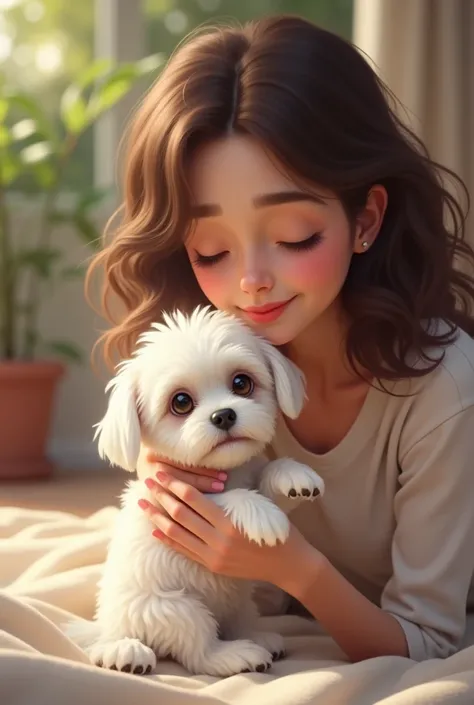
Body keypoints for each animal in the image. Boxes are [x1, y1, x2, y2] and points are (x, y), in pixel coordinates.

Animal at [66, 306, 324, 676]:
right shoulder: (175, 497)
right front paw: (260, 513)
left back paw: (257, 636)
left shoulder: (248, 472)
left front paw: (292, 475)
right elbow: (224, 497)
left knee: (236, 621)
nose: (224, 415)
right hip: (172, 608)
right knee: (199, 649)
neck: (224, 472)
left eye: (241, 383)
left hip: (236, 603)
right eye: (181, 402)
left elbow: (266, 474)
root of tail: (109, 626)